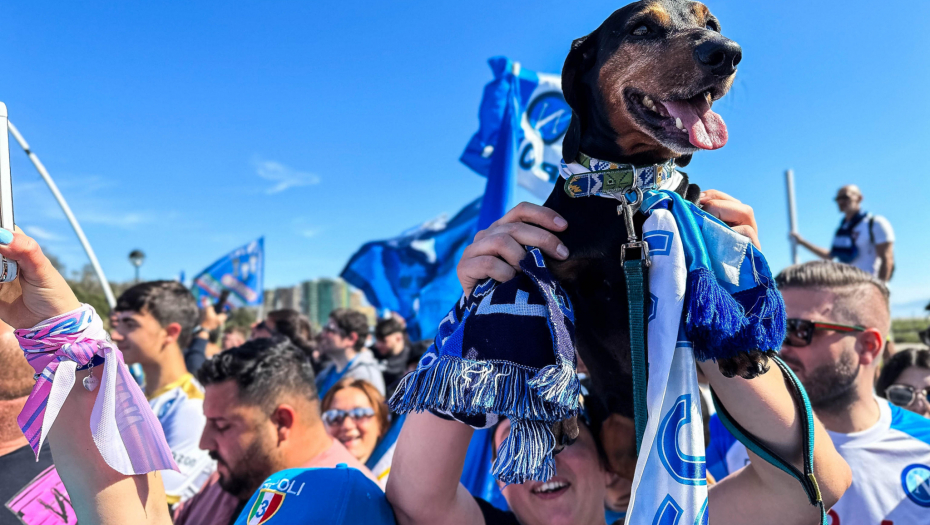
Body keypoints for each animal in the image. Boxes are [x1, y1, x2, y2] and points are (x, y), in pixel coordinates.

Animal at [540, 0, 764, 476]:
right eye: (641, 29)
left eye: (711, 23)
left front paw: (738, 342)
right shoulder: (558, 265)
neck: (627, 187)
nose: (727, 52)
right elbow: (550, 320)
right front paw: (553, 409)